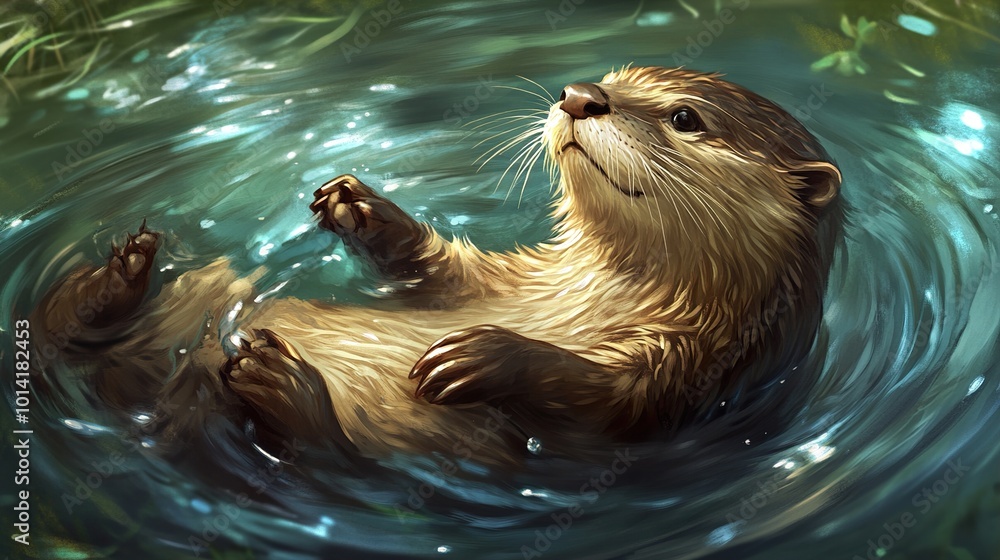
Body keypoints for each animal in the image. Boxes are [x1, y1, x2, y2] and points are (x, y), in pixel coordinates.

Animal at [34, 66, 841, 465]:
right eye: (612, 76)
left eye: (683, 117)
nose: (579, 96)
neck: (587, 300)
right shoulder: (512, 279)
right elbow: (442, 275)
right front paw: (358, 206)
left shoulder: (696, 371)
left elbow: (602, 400)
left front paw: (480, 357)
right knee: (58, 333)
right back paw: (119, 277)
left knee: (327, 455)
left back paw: (278, 381)